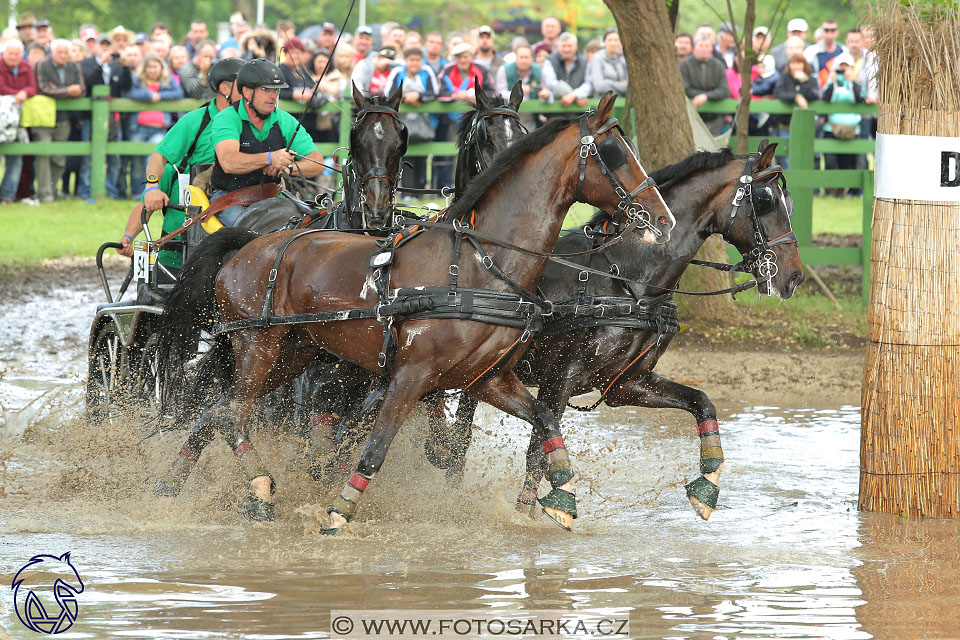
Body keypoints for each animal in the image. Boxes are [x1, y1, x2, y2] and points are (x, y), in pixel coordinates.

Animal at [152, 94, 676, 536]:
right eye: (614, 152)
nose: (662, 217)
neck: (479, 263)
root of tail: (249, 243)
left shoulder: (488, 379)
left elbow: (545, 421)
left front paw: (562, 495)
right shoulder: (410, 376)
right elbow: (374, 451)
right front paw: (337, 515)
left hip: (292, 353)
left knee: (215, 412)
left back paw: (167, 489)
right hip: (258, 346)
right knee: (232, 414)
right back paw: (258, 488)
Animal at [426, 140, 804, 520]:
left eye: (789, 203)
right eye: (765, 200)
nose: (794, 277)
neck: (624, 279)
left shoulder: (625, 383)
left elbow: (702, 403)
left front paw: (708, 485)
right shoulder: (558, 379)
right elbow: (537, 452)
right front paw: (528, 515)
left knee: (458, 440)